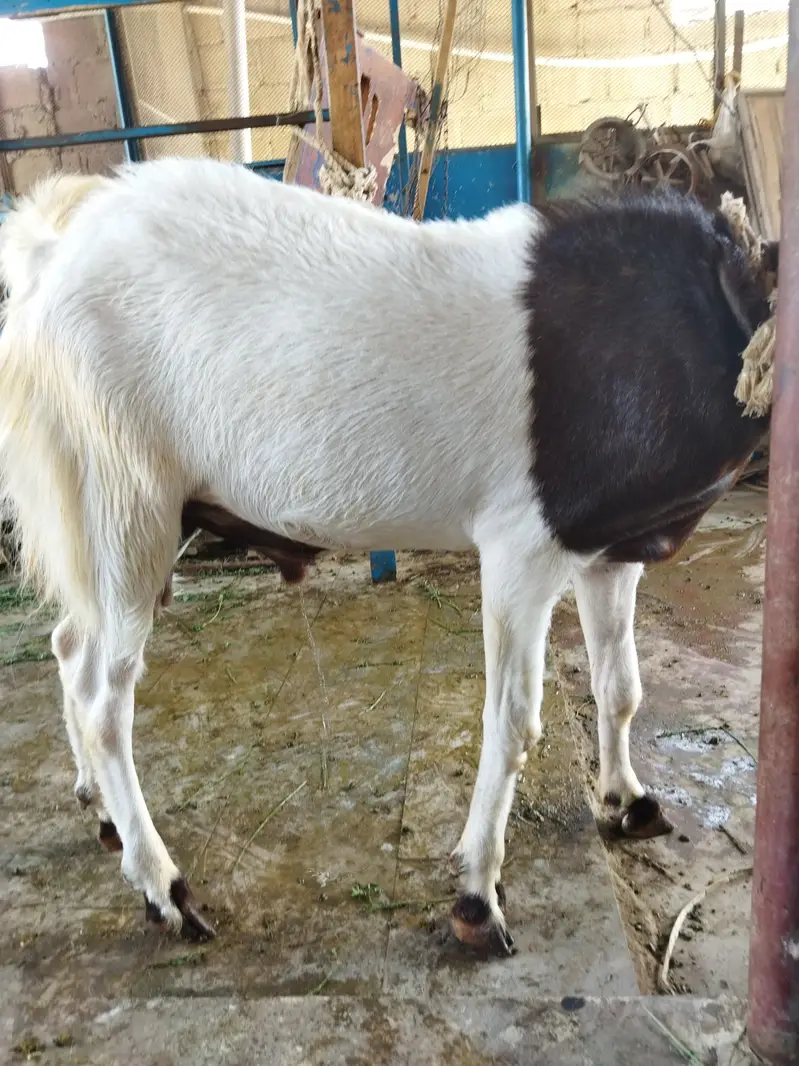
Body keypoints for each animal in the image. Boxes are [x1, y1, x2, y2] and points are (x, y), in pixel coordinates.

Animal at [0, 160, 773, 953]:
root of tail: (47, 255)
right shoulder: (520, 550)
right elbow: (510, 721)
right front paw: (476, 896)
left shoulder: (609, 548)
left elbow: (619, 687)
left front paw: (628, 800)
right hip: (122, 500)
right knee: (104, 702)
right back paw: (166, 890)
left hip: (110, 524)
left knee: (71, 647)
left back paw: (101, 813)